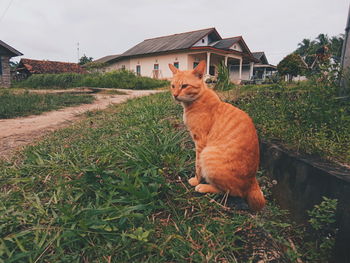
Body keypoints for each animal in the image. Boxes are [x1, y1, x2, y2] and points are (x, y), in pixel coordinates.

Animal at [169, 60, 266, 212]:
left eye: (184, 86)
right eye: (173, 86)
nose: (174, 95)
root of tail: (253, 181)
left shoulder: (200, 142)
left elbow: (197, 166)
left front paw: (196, 180)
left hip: (208, 154)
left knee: (231, 192)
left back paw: (203, 186)